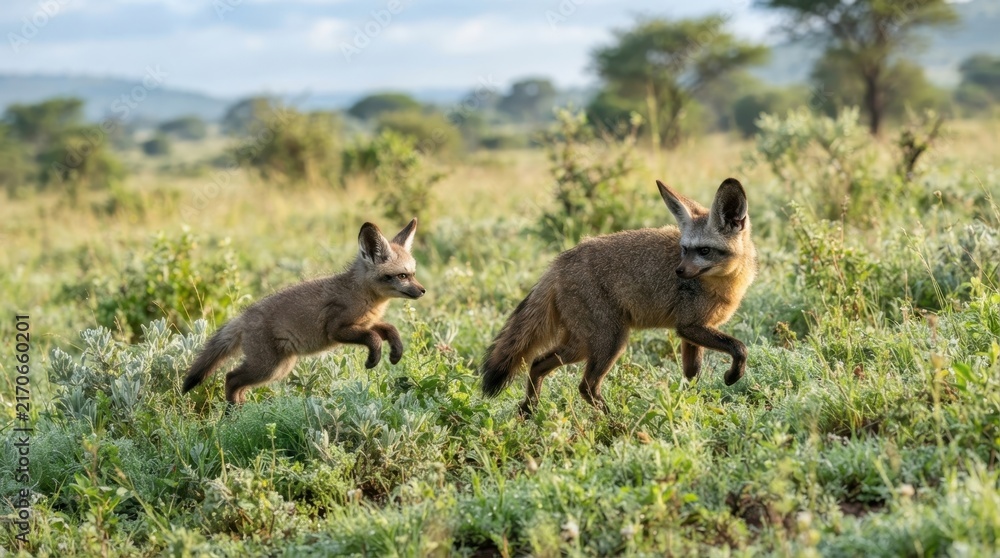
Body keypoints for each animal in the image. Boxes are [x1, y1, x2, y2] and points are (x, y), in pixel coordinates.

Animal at [182, 219, 426, 406]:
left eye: (413, 274)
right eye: (402, 276)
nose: (423, 291)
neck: (362, 296)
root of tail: (243, 316)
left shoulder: (365, 323)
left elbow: (389, 329)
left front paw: (396, 352)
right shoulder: (337, 329)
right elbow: (373, 338)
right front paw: (373, 359)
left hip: (277, 369)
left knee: (237, 384)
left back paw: (241, 413)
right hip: (267, 368)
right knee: (231, 378)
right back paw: (233, 416)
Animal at [479, 178, 757, 415]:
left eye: (704, 251)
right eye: (684, 249)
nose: (679, 271)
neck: (725, 284)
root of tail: (558, 263)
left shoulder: (691, 331)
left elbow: (692, 376)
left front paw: (694, 406)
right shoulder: (689, 327)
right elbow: (739, 347)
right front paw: (732, 376)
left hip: (581, 345)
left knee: (537, 363)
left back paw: (529, 411)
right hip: (609, 342)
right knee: (586, 386)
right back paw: (615, 419)